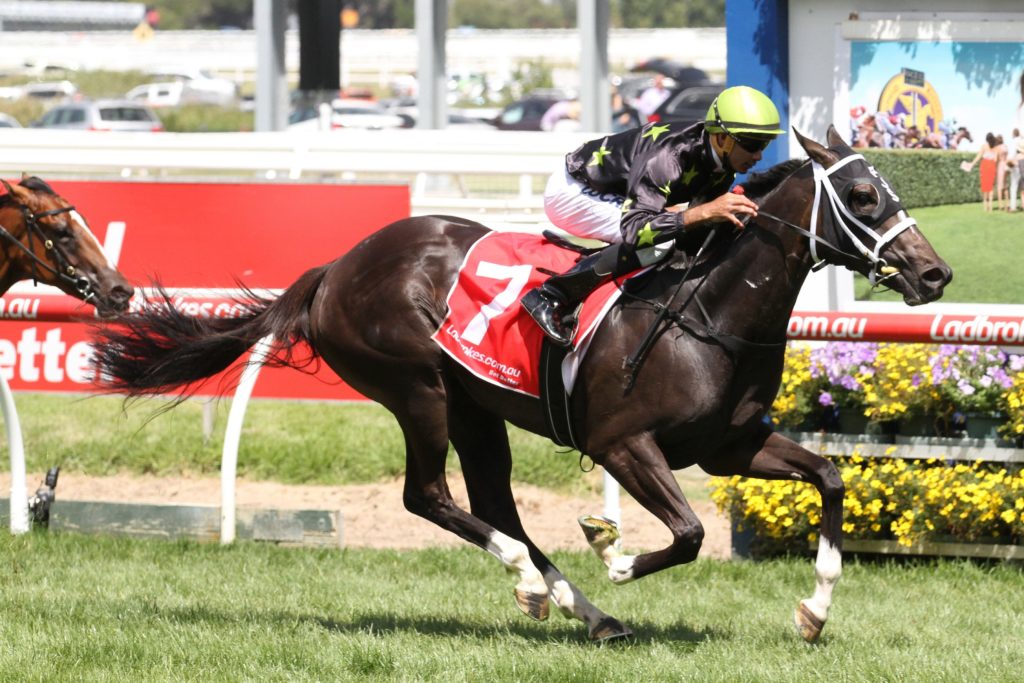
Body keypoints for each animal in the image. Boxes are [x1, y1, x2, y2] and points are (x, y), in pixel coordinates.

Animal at [90, 126, 951, 643]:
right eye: (864, 195)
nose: (935, 273)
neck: (709, 313)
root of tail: (337, 265)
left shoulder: (731, 445)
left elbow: (831, 476)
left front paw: (814, 608)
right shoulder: (622, 442)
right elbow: (689, 533)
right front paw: (613, 551)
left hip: (476, 407)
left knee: (490, 500)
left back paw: (579, 607)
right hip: (419, 389)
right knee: (430, 496)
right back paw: (540, 581)